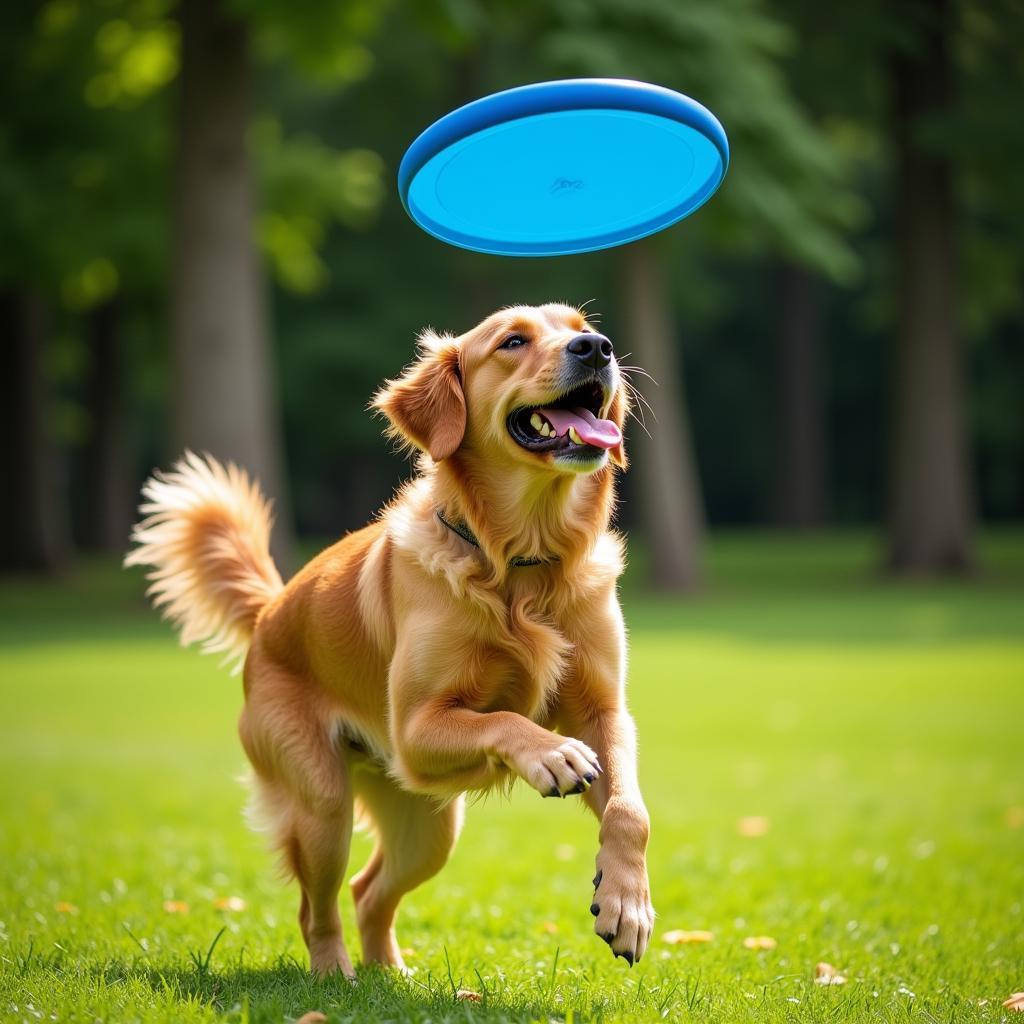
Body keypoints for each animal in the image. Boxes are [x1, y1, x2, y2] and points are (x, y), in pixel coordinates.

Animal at [128, 301, 651, 974]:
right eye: (512, 342)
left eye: (582, 326)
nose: (599, 348)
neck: (523, 565)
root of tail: (271, 612)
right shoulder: (415, 730)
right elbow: (504, 719)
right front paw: (550, 754)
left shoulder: (603, 711)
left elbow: (630, 810)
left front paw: (626, 905)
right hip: (324, 805)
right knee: (317, 907)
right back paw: (336, 978)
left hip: (428, 826)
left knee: (369, 891)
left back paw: (389, 974)